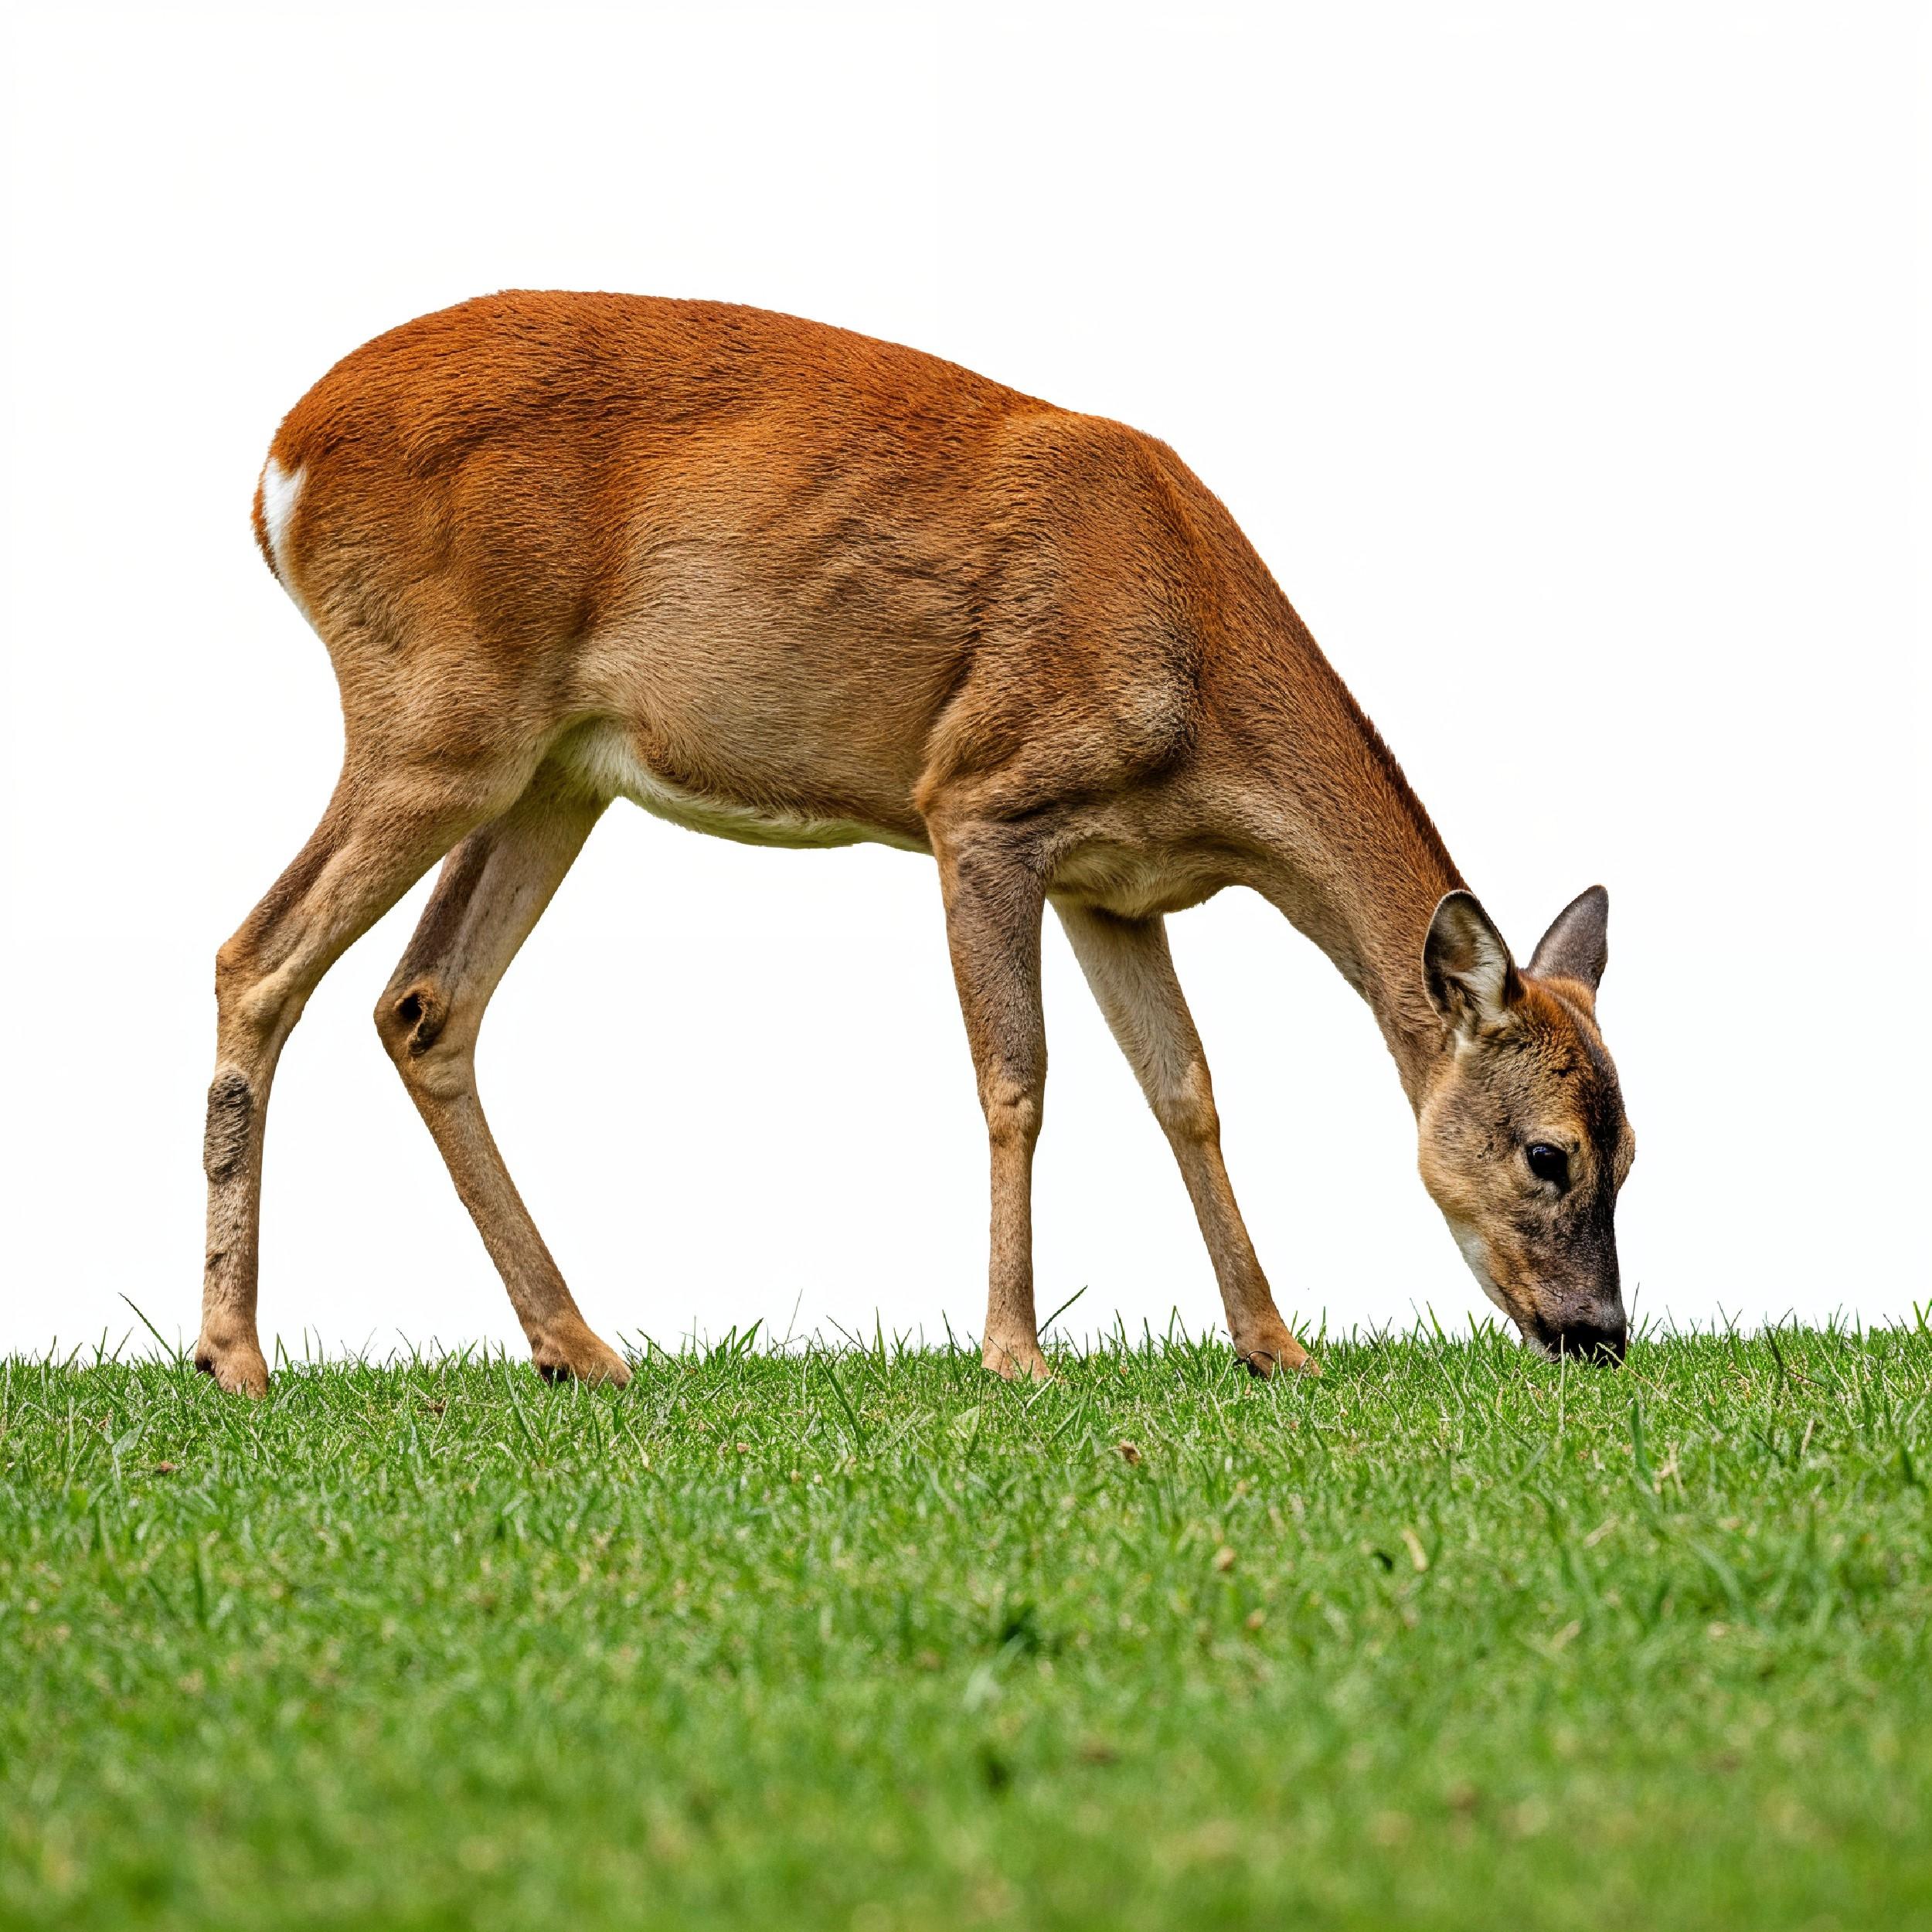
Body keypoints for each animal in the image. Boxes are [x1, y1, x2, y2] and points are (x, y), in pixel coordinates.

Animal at [198, 291, 1636, 1399]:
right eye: (1548, 1154)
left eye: (1634, 1152)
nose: (1602, 1335)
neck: (1197, 669)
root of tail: (279, 465)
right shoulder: (984, 802)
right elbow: (1018, 1079)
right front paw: (1015, 1353)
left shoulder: (1118, 887)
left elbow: (1187, 1091)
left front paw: (1275, 1346)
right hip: (438, 718)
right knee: (255, 957)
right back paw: (234, 1355)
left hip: (554, 768)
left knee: (423, 1003)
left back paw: (577, 1348)